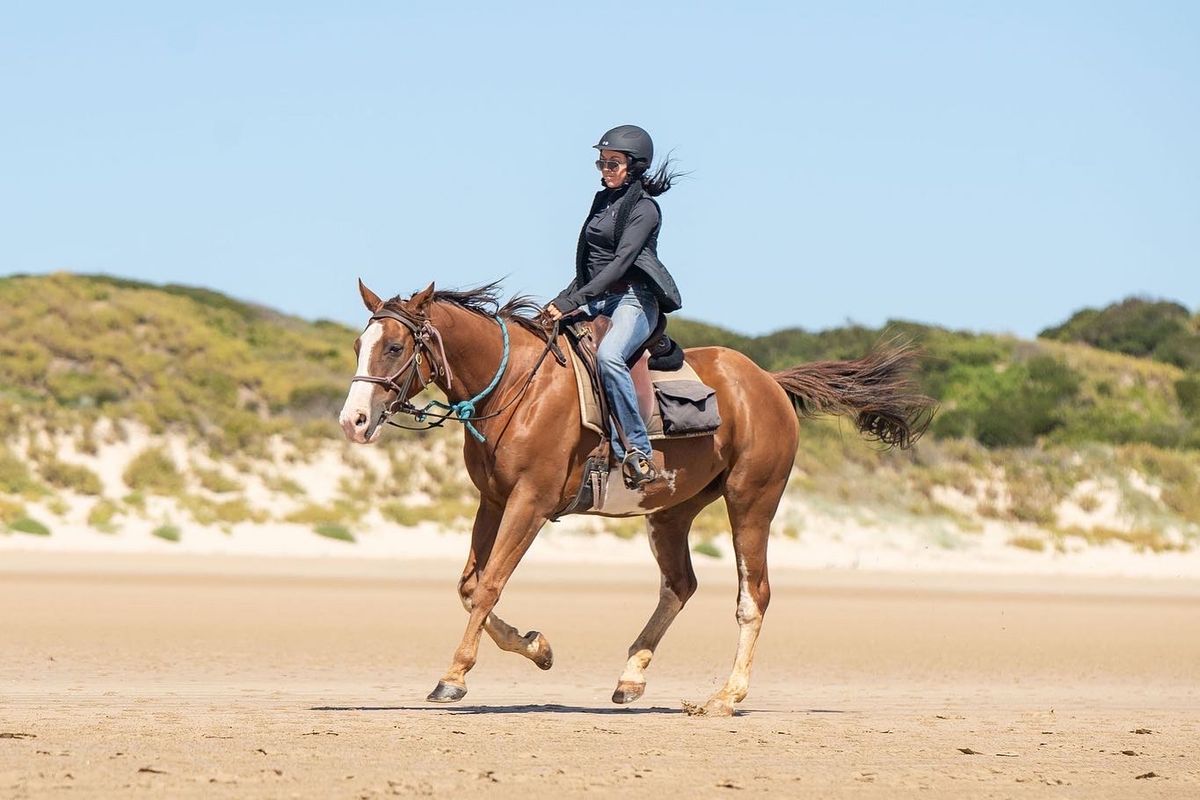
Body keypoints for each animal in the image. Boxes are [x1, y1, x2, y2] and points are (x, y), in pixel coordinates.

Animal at [340, 281, 936, 719]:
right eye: (358, 347)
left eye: (394, 347)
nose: (354, 421)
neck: (515, 387)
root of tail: (768, 381)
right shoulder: (492, 501)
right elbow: (469, 588)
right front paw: (538, 647)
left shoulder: (529, 504)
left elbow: (488, 586)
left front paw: (455, 676)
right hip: (671, 513)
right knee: (681, 585)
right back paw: (632, 677)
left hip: (751, 503)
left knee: (754, 596)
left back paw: (726, 697)